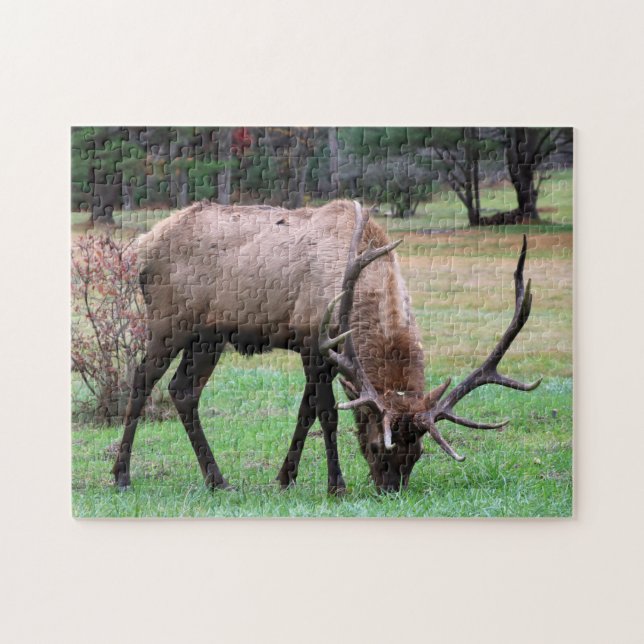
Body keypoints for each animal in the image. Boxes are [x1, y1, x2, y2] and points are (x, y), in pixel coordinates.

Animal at [112, 199, 540, 494]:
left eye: (418, 452)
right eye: (376, 447)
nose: (391, 489)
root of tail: (142, 245)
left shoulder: (328, 354)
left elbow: (306, 411)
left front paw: (285, 477)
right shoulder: (312, 340)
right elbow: (327, 413)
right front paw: (336, 484)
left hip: (209, 336)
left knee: (183, 390)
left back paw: (218, 480)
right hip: (168, 321)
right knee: (141, 381)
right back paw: (121, 476)